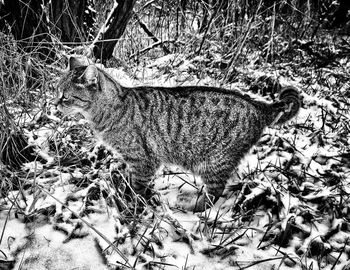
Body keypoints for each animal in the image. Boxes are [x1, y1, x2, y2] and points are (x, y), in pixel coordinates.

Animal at [54, 57, 300, 212]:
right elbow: (129, 178)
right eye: (58, 92)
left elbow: (137, 187)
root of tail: (259, 105)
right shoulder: (132, 161)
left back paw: (192, 208)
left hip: (213, 162)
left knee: (215, 193)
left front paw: (132, 203)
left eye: (65, 96)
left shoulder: (143, 161)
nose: (54, 103)